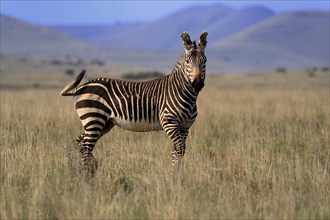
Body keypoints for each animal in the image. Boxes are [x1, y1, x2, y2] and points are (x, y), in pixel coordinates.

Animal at [60, 31, 208, 176]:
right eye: (188, 62)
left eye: (205, 61)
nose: (197, 84)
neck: (185, 93)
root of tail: (81, 87)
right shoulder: (169, 122)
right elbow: (179, 149)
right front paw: (175, 175)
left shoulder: (185, 126)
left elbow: (178, 151)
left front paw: (177, 174)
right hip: (94, 119)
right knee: (86, 146)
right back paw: (87, 175)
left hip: (103, 123)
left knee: (81, 142)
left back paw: (87, 169)